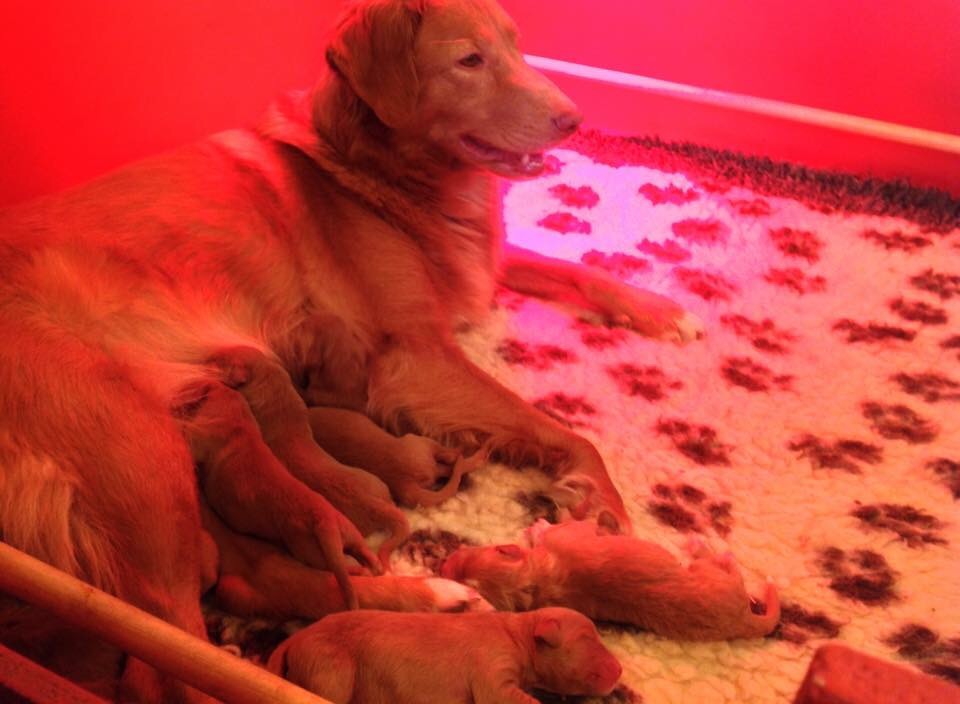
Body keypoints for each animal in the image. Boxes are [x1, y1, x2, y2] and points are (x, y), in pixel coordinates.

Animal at [267, 607, 623, 703]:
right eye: (587, 637)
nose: (620, 670)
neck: (519, 634)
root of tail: (296, 638)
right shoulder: (492, 666)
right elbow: (501, 696)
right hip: (331, 668)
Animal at [441, 520, 781, 641]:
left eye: (466, 553)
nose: (443, 565)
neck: (537, 579)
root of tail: (741, 621)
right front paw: (539, 526)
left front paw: (537, 526)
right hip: (711, 574)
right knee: (726, 564)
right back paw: (705, 544)